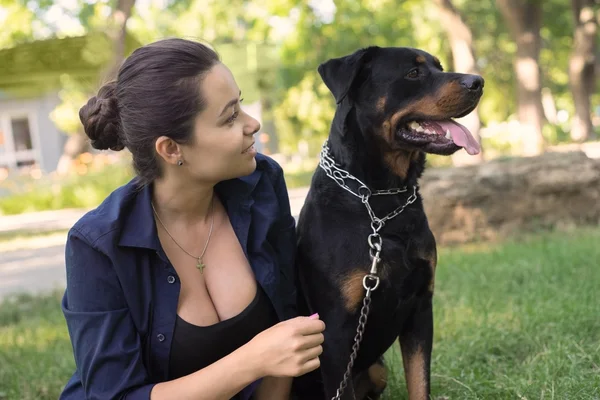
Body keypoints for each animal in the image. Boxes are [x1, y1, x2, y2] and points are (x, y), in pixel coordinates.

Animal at [292, 47, 486, 400]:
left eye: (439, 66)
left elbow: (419, 382)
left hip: (378, 369)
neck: (383, 199)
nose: (477, 81)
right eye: (413, 73)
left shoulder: (421, 307)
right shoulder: (336, 331)